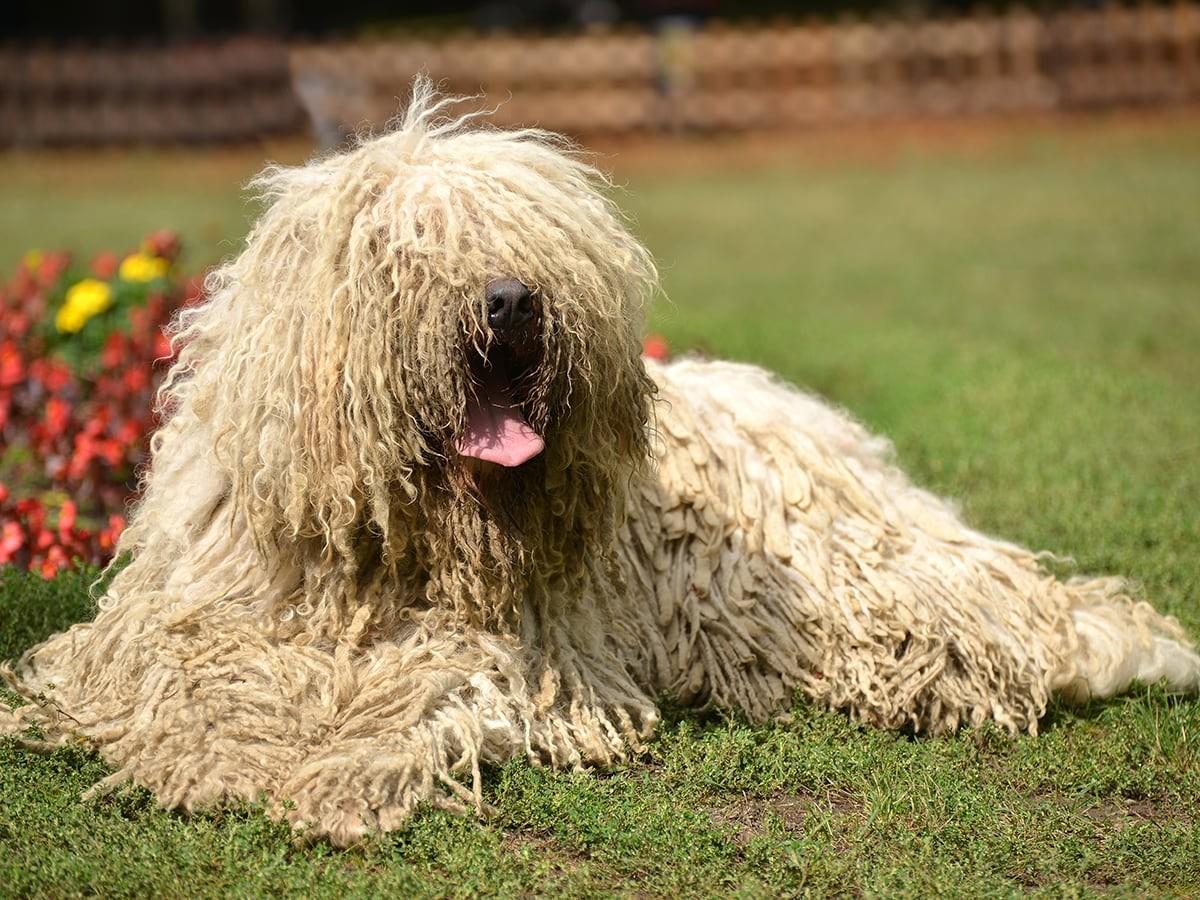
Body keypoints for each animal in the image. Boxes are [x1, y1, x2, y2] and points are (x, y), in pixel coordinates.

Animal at [2, 82, 1200, 844]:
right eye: (407, 250)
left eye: (534, 246)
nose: (511, 299)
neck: (397, 549)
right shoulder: (192, 618)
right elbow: (180, 673)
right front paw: (219, 744)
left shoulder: (493, 649)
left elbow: (410, 698)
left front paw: (334, 769)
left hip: (874, 596)